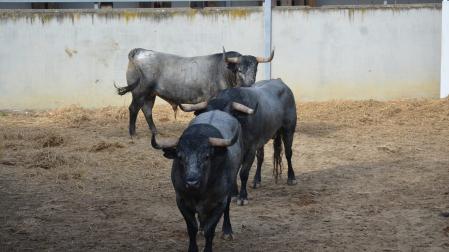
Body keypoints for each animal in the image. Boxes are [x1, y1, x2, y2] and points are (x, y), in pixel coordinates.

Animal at [112, 48, 272, 137]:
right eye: (239, 70)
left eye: (255, 69)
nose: (249, 84)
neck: (224, 71)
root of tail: (140, 51)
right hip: (139, 92)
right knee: (133, 109)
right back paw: (133, 133)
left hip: (150, 94)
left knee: (147, 111)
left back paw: (155, 132)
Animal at [150, 110, 242, 252]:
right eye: (180, 157)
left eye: (207, 156)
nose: (192, 183)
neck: (199, 192)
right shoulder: (181, 201)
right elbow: (191, 228)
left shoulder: (219, 202)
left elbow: (210, 230)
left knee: (226, 208)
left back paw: (227, 231)